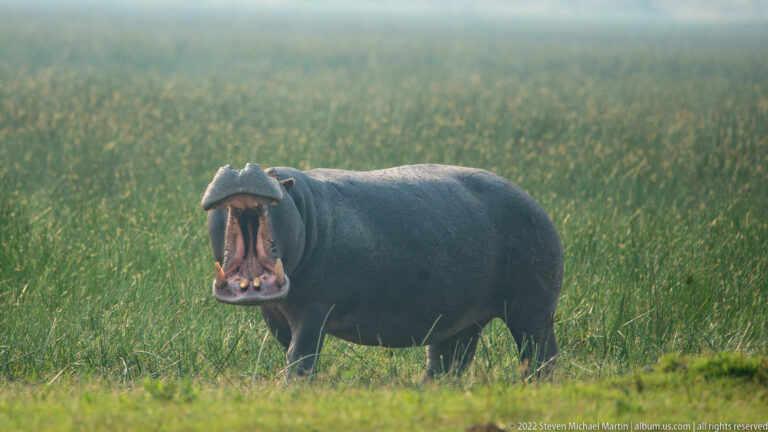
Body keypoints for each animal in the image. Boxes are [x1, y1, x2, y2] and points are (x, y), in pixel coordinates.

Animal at [202, 163, 562, 378]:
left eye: (281, 181)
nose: (243, 167)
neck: (303, 205)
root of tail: (535, 203)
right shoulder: (274, 311)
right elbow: (288, 347)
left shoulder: (315, 307)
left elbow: (300, 354)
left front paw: (293, 388)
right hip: (460, 318)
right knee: (449, 360)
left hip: (531, 308)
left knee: (539, 353)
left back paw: (533, 385)